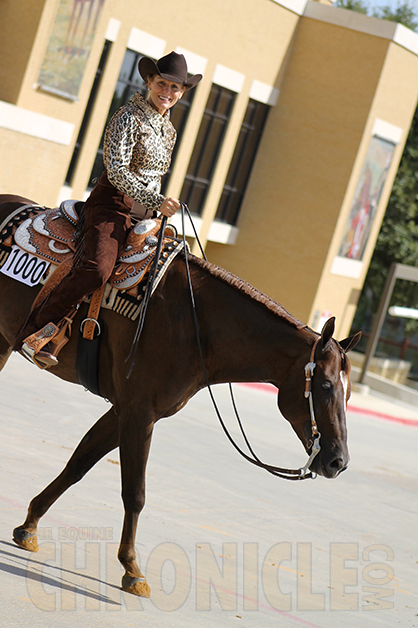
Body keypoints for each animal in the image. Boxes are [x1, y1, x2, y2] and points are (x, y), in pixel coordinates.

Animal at [0, 194, 360, 596]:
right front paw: (132, 569)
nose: (338, 461)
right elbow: (135, 491)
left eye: (348, 395)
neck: (196, 322)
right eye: (325, 385)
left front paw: (28, 527)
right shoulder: (139, 414)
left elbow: (78, 463)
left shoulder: (125, 411)